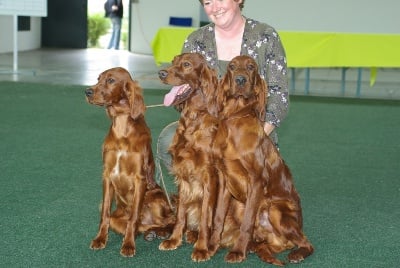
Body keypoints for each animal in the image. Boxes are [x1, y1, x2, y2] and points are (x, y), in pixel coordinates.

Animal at [84, 67, 175, 258]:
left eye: (111, 80)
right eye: (98, 78)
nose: (87, 91)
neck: (122, 130)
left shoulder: (140, 179)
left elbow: (133, 218)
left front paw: (128, 245)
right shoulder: (107, 175)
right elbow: (104, 213)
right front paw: (100, 239)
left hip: (153, 198)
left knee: (170, 219)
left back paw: (163, 232)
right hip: (118, 217)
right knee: (141, 226)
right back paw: (151, 233)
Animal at [158, 52, 219, 262]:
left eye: (186, 64)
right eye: (173, 61)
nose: (161, 73)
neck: (193, 121)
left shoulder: (209, 178)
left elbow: (205, 217)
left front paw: (201, 248)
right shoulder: (183, 175)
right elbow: (180, 215)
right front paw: (173, 239)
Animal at [208, 55, 314, 264]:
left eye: (251, 67)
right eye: (232, 66)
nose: (240, 79)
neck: (235, 118)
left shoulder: (256, 180)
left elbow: (247, 223)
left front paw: (237, 252)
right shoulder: (224, 180)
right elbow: (218, 218)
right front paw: (211, 246)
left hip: (275, 210)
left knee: (307, 243)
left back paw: (296, 254)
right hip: (240, 207)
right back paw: (254, 247)